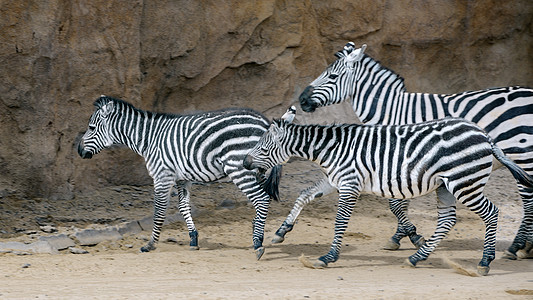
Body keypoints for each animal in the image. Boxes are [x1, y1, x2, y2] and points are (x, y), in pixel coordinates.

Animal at [77, 95, 282, 258]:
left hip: (239, 168)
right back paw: (258, 233)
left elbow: (159, 211)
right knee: (261, 201)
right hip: (258, 170)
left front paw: (150, 244)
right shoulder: (182, 178)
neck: (149, 139)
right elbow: (183, 207)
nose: (79, 150)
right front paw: (193, 240)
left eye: (91, 127)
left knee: (261, 199)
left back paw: (258, 243)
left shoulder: (162, 175)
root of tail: (263, 121)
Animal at [243, 111, 532, 276]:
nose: (245, 162)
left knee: (491, 212)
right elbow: (303, 195)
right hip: (446, 186)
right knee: (448, 220)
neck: (331, 150)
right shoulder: (334, 180)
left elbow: (340, 222)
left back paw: (485, 261)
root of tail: (484, 134)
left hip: (464, 182)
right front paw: (281, 231)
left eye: (264, 147)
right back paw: (417, 257)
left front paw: (328, 257)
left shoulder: (349, 184)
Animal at [290, 42, 532, 260]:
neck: (392, 110)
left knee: (528, 200)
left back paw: (518, 246)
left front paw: (413, 236)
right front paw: (401, 236)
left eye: (332, 76)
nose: (302, 100)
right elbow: (400, 200)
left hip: (523, 155)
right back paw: (525, 246)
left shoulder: (400, 158)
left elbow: (396, 202)